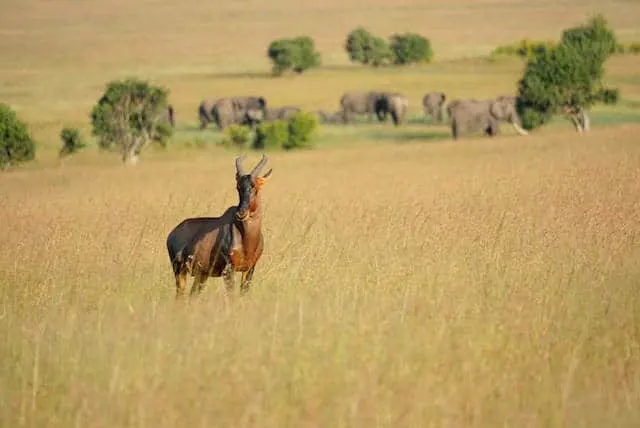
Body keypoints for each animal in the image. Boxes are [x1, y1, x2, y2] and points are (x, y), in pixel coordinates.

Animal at [166, 154, 272, 298]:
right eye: (238, 187)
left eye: (254, 186)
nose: (241, 213)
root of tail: (172, 234)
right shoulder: (229, 270)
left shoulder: (249, 269)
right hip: (179, 271)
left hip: (201, 275)